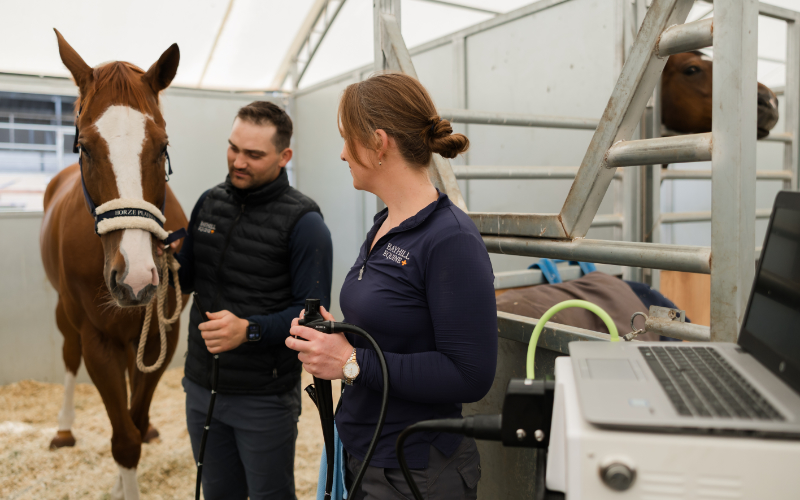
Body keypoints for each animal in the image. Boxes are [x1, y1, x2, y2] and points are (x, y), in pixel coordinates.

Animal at [40, 30, 188, 500]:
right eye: (85, 147)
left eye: (163, 146)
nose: (136, 277)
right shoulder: (98, 340)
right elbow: (123, 440)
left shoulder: (161, 336)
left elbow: (134, 425)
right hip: (64, 313)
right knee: (68, 356)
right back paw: (64, 429)